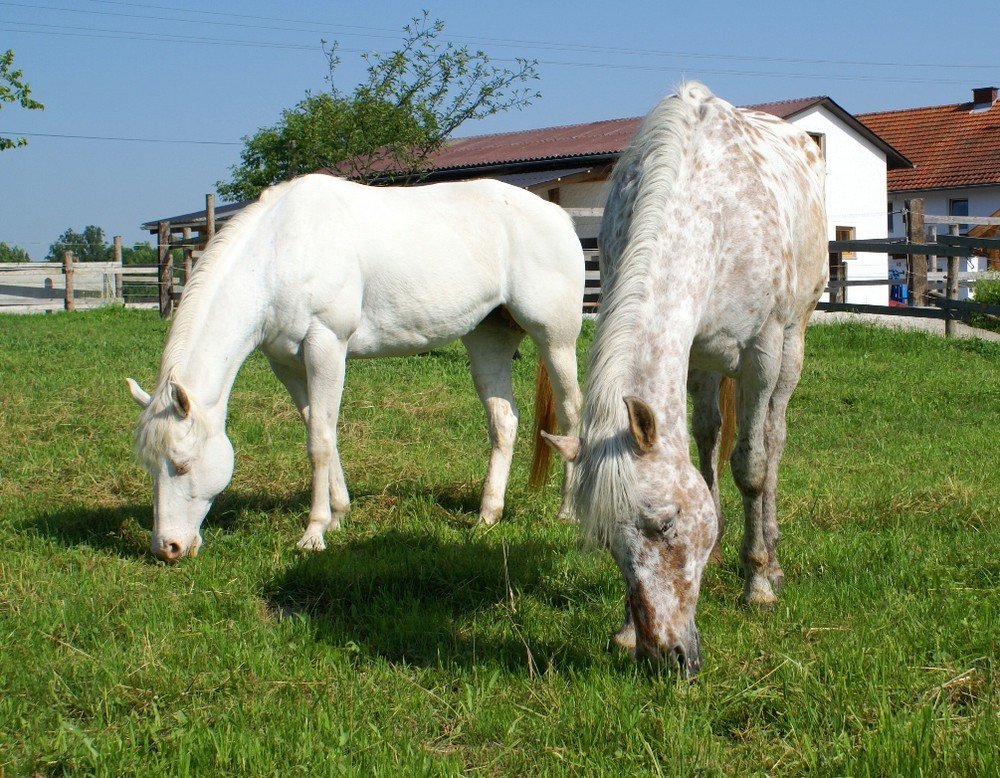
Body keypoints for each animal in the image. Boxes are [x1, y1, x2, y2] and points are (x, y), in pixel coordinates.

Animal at [128, 175, 584, 556]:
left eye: (183, 464)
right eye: (149, 464)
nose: (167, 548)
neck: (281, 251)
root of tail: (557, 215)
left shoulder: (326, 345)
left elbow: (318, 441)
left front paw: (313, 533)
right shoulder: (287, 364)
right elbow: (320, 429)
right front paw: (339, 514)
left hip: (555, 339)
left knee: (571, 414)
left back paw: (568, 511)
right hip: (489, 340)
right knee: (504, 421)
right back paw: (487, 515)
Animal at [548, 82, 828, 668]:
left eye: (665, 523)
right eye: (606, 541)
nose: (664, 656)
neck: (710, 211)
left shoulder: (763, 351)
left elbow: (751, 465)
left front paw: (757, 583)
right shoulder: (692, 346)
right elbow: (706, 451)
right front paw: (626, 627)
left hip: (792, 345)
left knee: (773, 439)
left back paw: (770, 559)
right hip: (705, 362)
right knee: (707, 435)